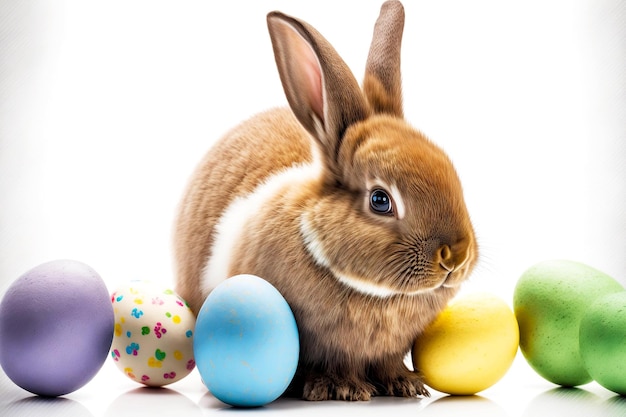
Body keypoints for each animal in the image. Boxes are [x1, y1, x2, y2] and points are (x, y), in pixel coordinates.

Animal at [173, 1, 476, 402]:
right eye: (381, 200)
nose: (455, 257)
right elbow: (326, 366)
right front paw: (340, 389)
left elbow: (389, 362)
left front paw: (405, 384)